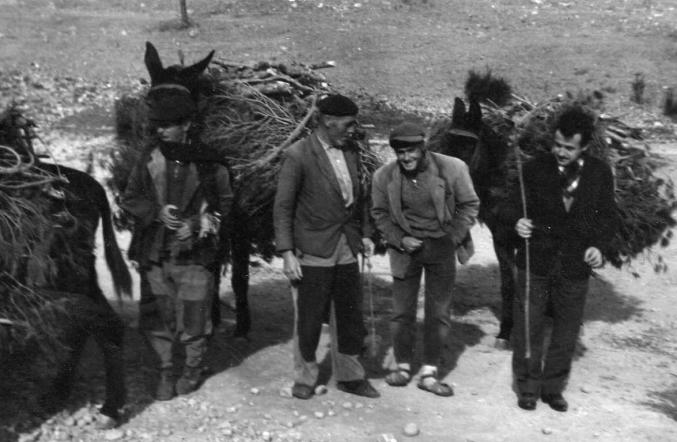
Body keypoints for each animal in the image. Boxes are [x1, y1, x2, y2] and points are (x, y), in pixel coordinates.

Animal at [0, 106, 132, 426]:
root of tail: (92, 186)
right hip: (78, 276)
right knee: (95, 325)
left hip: (67, 275)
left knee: (90, 324)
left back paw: (105, 407)